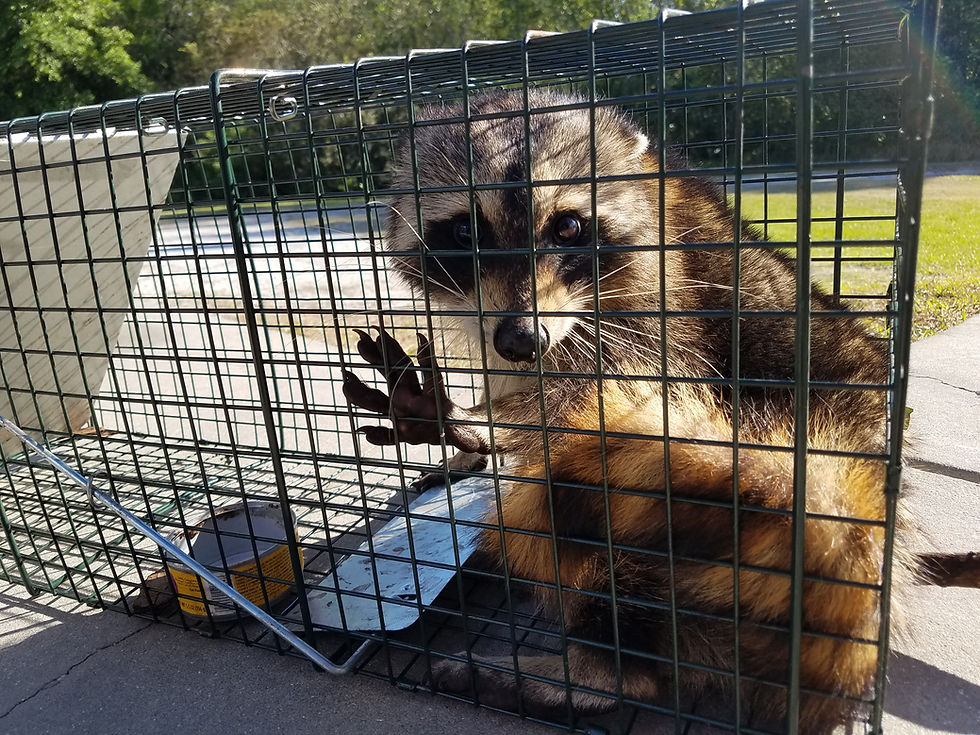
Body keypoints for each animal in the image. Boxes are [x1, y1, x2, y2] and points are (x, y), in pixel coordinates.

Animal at [342, 90, 913, 731]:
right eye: (466, 230)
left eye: (567, 226)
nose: (522, 339)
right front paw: (467, 451)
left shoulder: (665, 307)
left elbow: (607, 397)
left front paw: (480, 423)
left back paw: (599, 673)